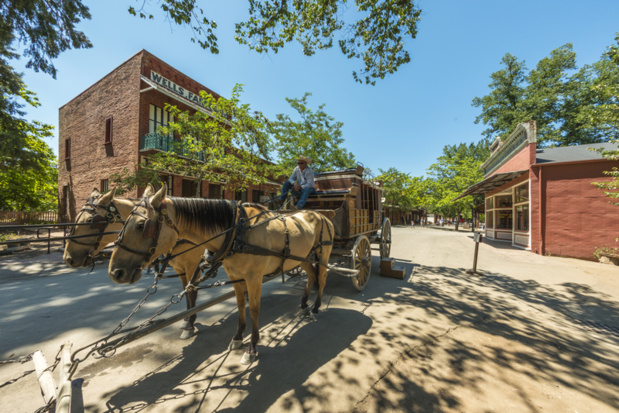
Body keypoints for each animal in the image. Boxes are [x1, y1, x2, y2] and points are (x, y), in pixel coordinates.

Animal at [65, 186, 206, 338]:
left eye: (91, 220)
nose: (68, 257)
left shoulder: (192, 265)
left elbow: (191, 292)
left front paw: (189, 324)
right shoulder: (180, 269)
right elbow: (185, 290)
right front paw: (187, 319)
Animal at [109, 183, 336, 364]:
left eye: (141, 225)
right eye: (124, 223)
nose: (115, 272)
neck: (238, 230)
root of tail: (321, 214)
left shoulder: (254, 277)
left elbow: (254, 310)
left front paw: (252, 347)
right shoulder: (235, 275)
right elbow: (240, 305)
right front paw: (238, 338)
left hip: (323, 254)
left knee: (322, 278)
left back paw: (316, 307)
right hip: (303, 257)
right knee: (312, 276)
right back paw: (304, 305)